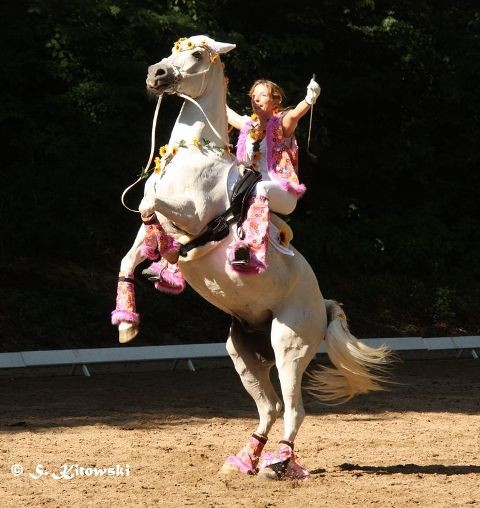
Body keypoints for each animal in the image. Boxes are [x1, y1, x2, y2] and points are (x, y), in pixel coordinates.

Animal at [114, 35, 392, 480]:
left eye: (196, 53)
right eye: (173, 50)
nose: (156, 74)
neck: (195, 153)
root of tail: (324, 305)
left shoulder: (192, 215)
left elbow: (150, 203)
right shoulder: (158, 230)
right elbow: (131, 253)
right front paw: (127, 325)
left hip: (288, 344)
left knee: (294, 409)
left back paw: (278, 465)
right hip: (243, 351)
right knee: (271, 407)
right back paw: (245, 460)